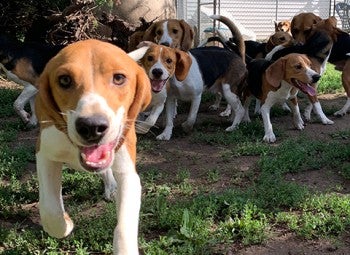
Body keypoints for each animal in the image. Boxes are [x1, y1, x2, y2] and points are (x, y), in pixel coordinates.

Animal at [34, 38, 151, 254]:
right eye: (64, 80)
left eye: (119, 78)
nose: (91, 127)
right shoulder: (45, 153)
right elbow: (50, 208)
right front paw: (65, 224)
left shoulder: (128, 173)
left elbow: (124, 228)